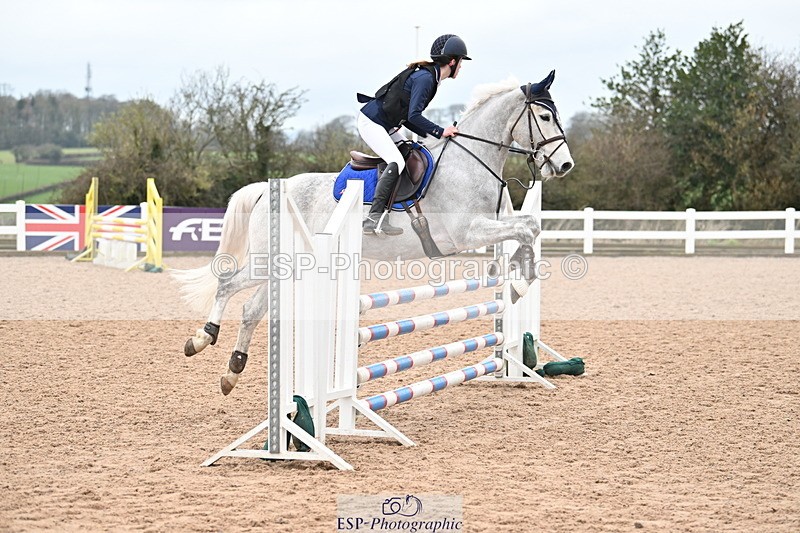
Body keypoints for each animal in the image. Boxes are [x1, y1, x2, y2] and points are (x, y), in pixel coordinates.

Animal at [172, 71, 575, 395]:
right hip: (269, 261)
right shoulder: (468, 233)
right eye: (544, 116)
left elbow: (529, 228)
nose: (565, 165)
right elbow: (526, 229)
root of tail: (269, 189)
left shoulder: (491, 225)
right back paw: (201, 338)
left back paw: (232, 371)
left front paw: (514, 279)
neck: (470, 161)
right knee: (228, 285)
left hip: (288, 266)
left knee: (252, 308)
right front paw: (518, 283)